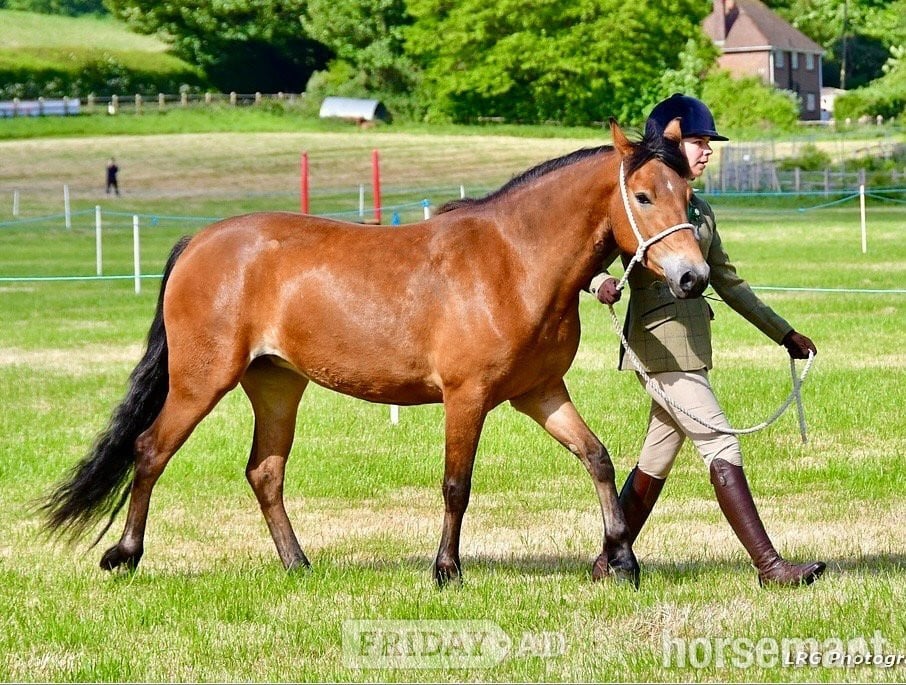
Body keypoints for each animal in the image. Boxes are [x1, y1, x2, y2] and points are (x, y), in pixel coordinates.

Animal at [42, 119, 708, 587]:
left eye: (687, 193)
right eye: (643, 196)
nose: (693, 276)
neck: (513, 262)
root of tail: (200, 241)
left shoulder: (539, 393)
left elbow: (597, 459)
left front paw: (622, 560)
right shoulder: (467, 398)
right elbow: (456, 485)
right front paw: (446, 570)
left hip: (277, 386)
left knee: (264, 472)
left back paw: (297, 564)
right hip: (200, 381)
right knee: (150, 451)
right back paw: (125, 556)